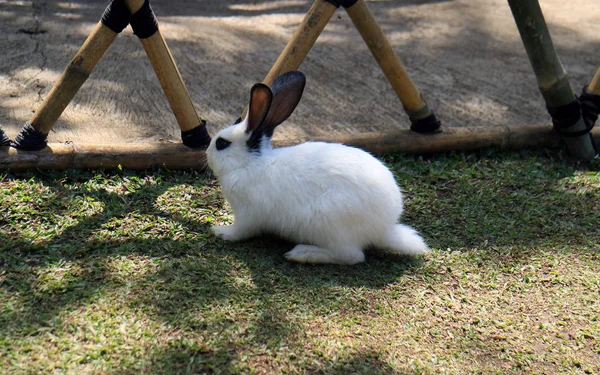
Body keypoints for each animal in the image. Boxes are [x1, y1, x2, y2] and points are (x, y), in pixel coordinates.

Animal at [206, 70, 426, 264]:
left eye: (222, 143)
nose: (206, 153)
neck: (249, 163)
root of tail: (384, 229)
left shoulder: (247, 214)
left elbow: (240, 231)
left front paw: (220, 231)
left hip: (328, 224)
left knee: (351, 256)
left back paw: (302, 254)